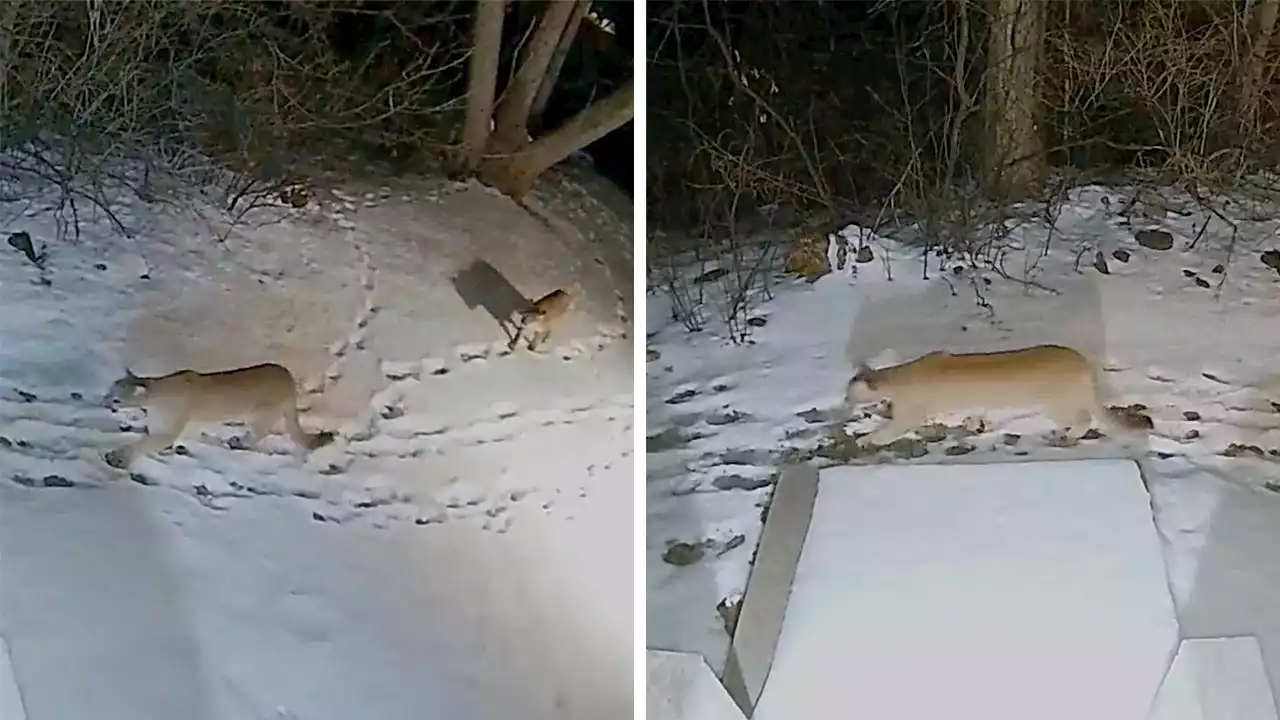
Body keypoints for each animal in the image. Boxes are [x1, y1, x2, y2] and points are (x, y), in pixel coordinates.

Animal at [100, 361, 335, 468]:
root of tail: (288, 376)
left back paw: (239, 441)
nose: (103, 401)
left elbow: (143, 444)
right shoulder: (159, 425)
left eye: (116, 398)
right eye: (109, 390)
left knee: (260, 433)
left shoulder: (167, 430)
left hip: (261, 414)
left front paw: (118, 458)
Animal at [844, 340, 1157, 443]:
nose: (844, 401)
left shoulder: (908, 415)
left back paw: (1069, 434)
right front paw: (973, 426)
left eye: (849, 393)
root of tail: (1082, 361)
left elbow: (888, 431)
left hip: (1057, 403)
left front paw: (868, 440)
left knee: (1084, 418)